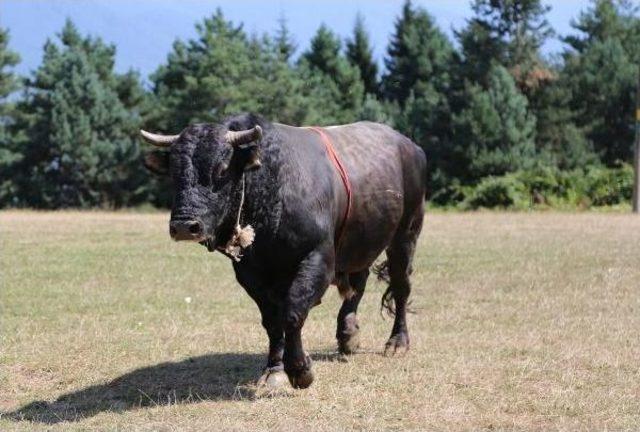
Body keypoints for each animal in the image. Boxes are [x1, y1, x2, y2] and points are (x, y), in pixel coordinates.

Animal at [142, 113, 428, 390]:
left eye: (222, 169)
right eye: (174, 173)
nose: (183, 226)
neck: (274, 191)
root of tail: (410, 146)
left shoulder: (317, 260)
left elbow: (292, 313)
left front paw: (300, 370)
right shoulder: (250, 273)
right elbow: (272, 320)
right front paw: (274, 369)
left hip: (405, 235)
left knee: (401, 287)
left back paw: (397, 342)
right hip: (360, 240)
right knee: (359, 281)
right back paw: (348, 335)